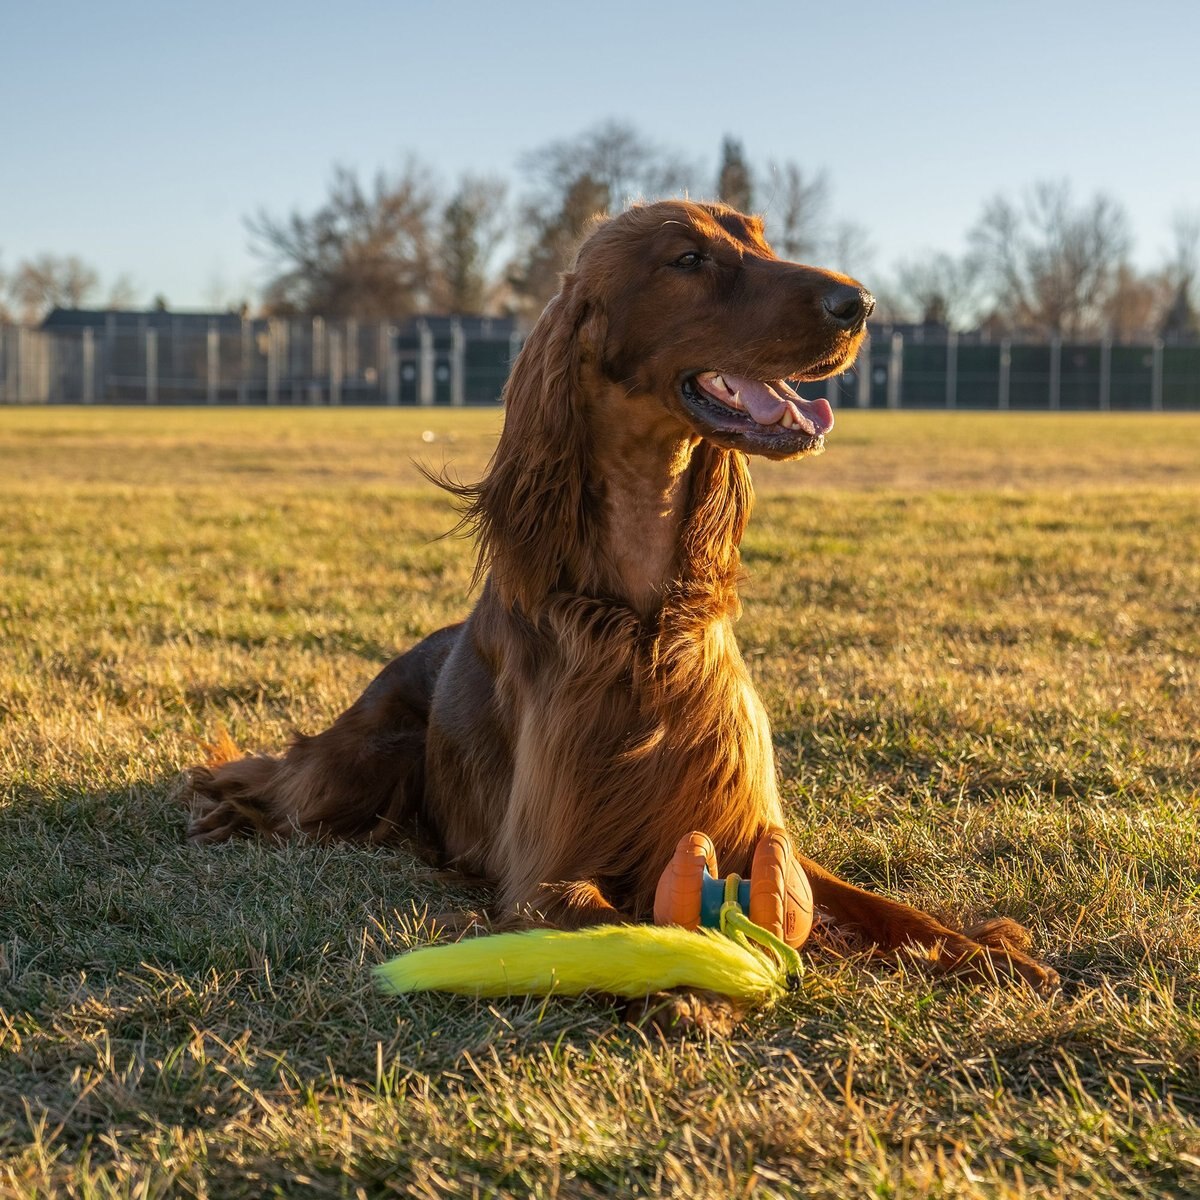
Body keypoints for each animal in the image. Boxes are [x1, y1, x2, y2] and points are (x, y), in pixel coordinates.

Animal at [184, 199, 1060, 1003]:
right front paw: (700, 985)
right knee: (280, 778)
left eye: (761, 237)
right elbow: (629, 928)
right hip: (365, 757)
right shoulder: (547, 873)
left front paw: (984, 950)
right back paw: (228, 812)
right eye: (687, 259)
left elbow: (882, 907)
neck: (643, 623)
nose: (861, 304)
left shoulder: (747, 828)